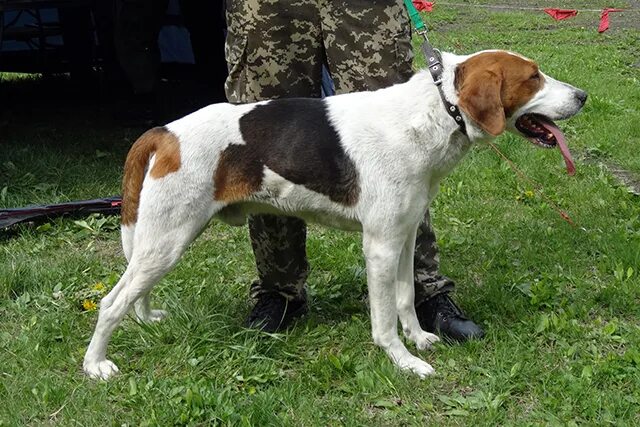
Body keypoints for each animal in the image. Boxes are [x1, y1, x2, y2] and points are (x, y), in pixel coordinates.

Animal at [84, 51, 584, 382]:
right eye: (534, 77)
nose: (582, 95)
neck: (435, 113)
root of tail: (164, 131)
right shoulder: (379, 247)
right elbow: (384, 321)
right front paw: (404, 361)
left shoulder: (404, 237)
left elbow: (406, 299)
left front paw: (420, 338)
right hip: (167, 242)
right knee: (111, 303)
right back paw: (96, 365)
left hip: (162, 242)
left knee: (134, 295)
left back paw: (145, 320)